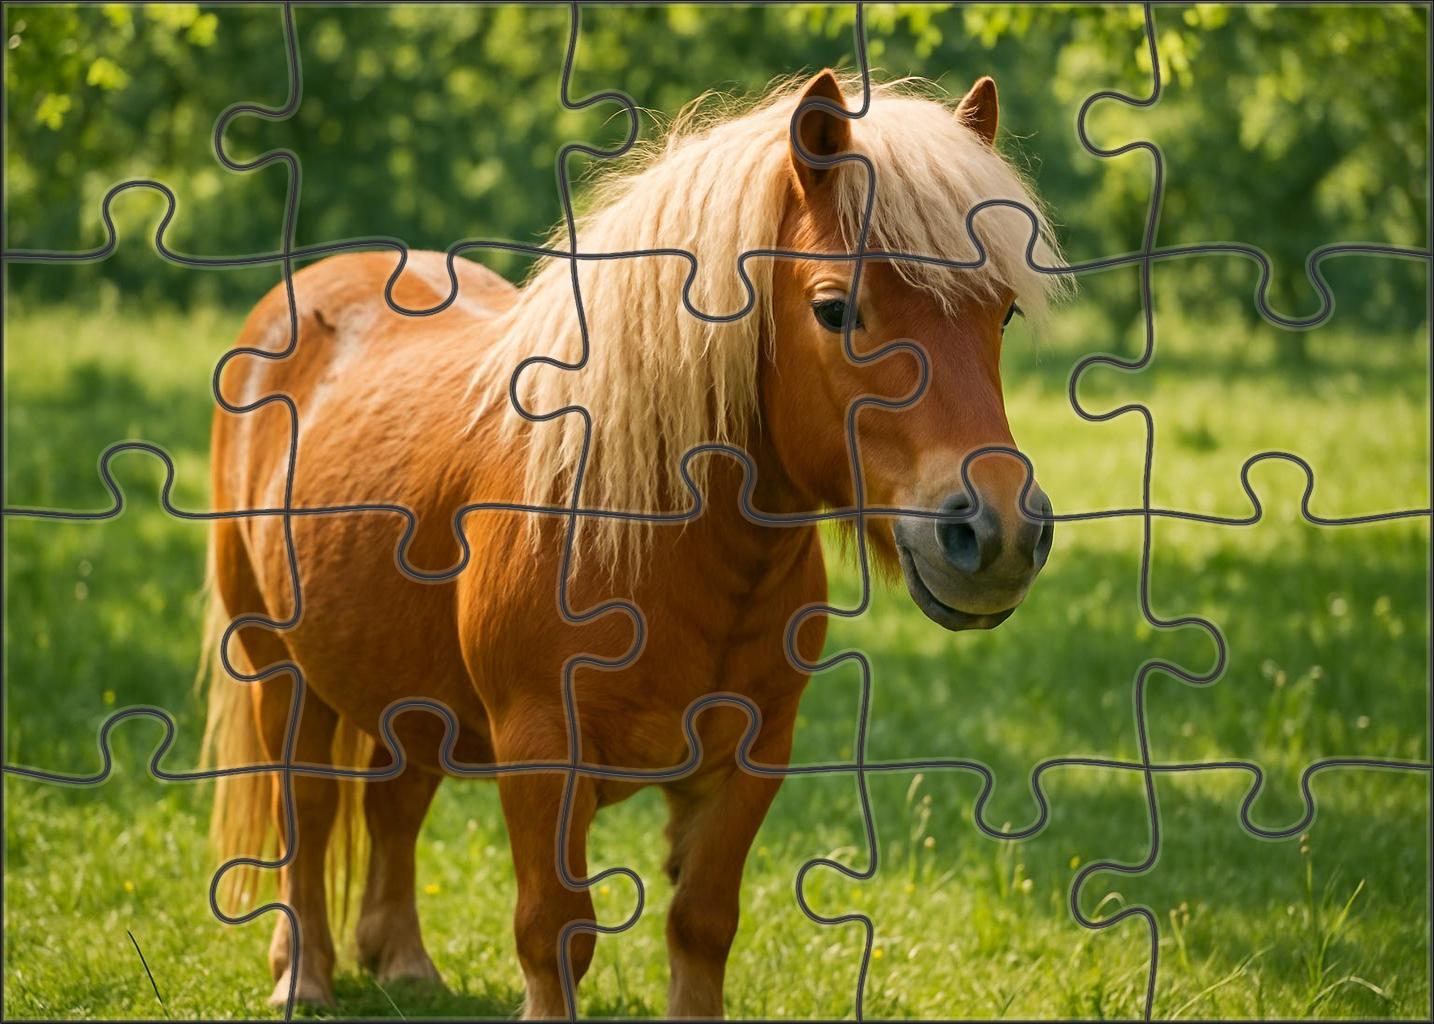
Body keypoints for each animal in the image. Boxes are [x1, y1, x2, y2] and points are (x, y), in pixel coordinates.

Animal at [201, 69, 1063, 1017]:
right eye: (837, 309)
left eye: (1002, 313)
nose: (997, 529)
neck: (648, 539)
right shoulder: (543, 756)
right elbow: (552, 933)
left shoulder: (750, 757)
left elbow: (701, 924)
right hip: (277, 665)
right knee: (307, 810)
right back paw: (303, 973)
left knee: (396, 801)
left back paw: (403, 962)